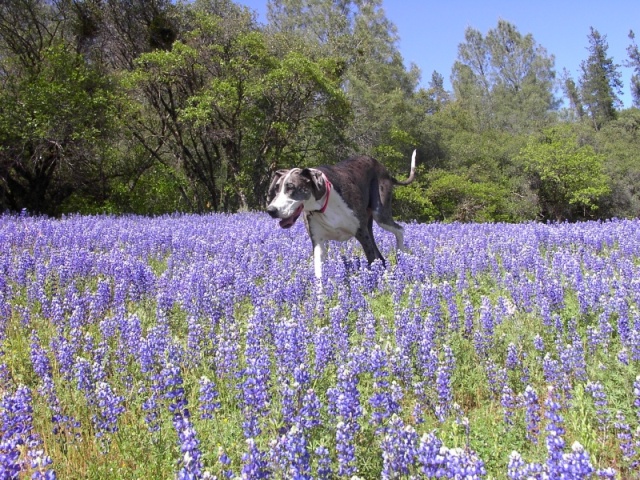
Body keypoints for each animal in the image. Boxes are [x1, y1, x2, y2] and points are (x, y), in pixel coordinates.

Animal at [264, 149, 416, 278]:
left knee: (399, 230)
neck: (323, 204)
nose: (271, 210)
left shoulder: (361, 233)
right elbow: (319, 277)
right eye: (276, 188)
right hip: (370, 225)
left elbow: (371, 262)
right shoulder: (318, 242)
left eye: (291, 187)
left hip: (380, 214)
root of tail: (384, 169)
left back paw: (400, 258)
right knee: (381, 256)